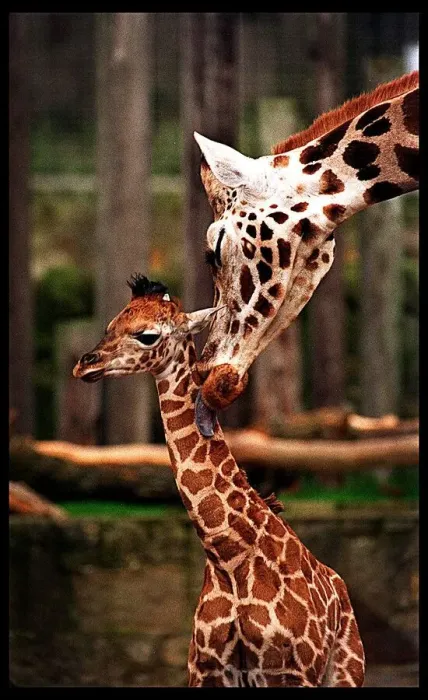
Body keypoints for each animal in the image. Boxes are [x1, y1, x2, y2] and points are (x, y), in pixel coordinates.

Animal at [73, 275, 365, 687]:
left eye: (147, 335)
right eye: (110, 325)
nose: (85, 364)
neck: (229, 556)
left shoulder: (290, 671)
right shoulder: (207, 670)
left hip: (344, 671)